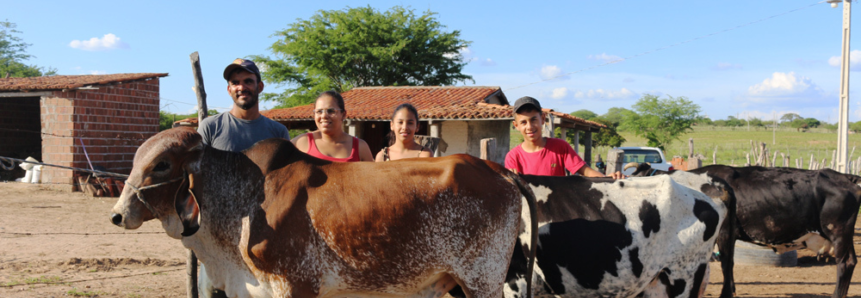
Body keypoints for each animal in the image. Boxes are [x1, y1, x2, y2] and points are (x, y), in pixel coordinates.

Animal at [624, 164, 860, 298]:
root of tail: (846, 177)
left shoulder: (725, 233)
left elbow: (727, 263)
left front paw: (726, 293)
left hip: (838, 233)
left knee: (845, 263)